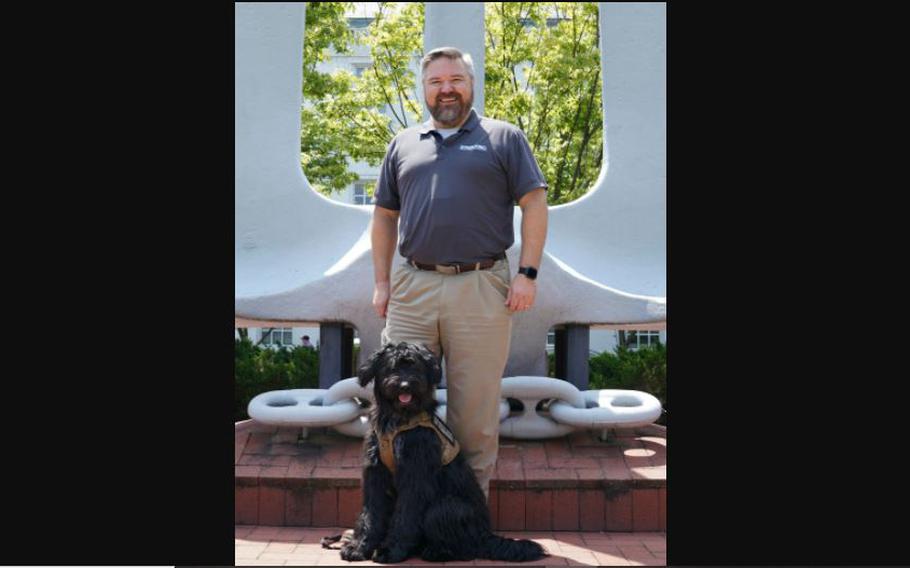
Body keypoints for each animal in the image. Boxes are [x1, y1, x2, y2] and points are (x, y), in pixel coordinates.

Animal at [338, 342, 544, 564]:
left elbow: (406, 514)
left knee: (465, 546)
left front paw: (391, 550)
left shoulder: (415, 474)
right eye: (391, 367)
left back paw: (435, 551)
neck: (399, 419)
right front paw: (359, 547)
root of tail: (487, 535)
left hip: (447, 507)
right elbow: (372, 512)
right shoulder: (376, 473)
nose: (405, 385)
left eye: (415, 366)